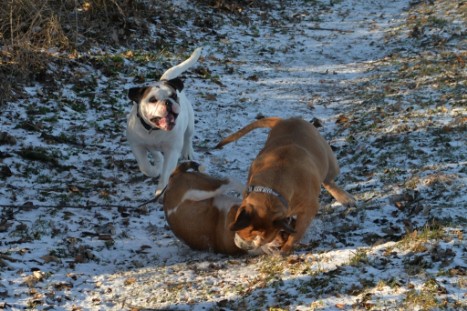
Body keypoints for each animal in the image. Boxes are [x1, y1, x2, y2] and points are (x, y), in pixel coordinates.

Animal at [217, 118, 358, 255]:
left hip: (330, 162)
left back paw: (344, 197)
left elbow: (297, 233)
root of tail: (285, 120)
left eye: (260, 241)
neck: (273, 191)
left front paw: (286, 248)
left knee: (328, 180)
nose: (244, 246)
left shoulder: (309, 210)